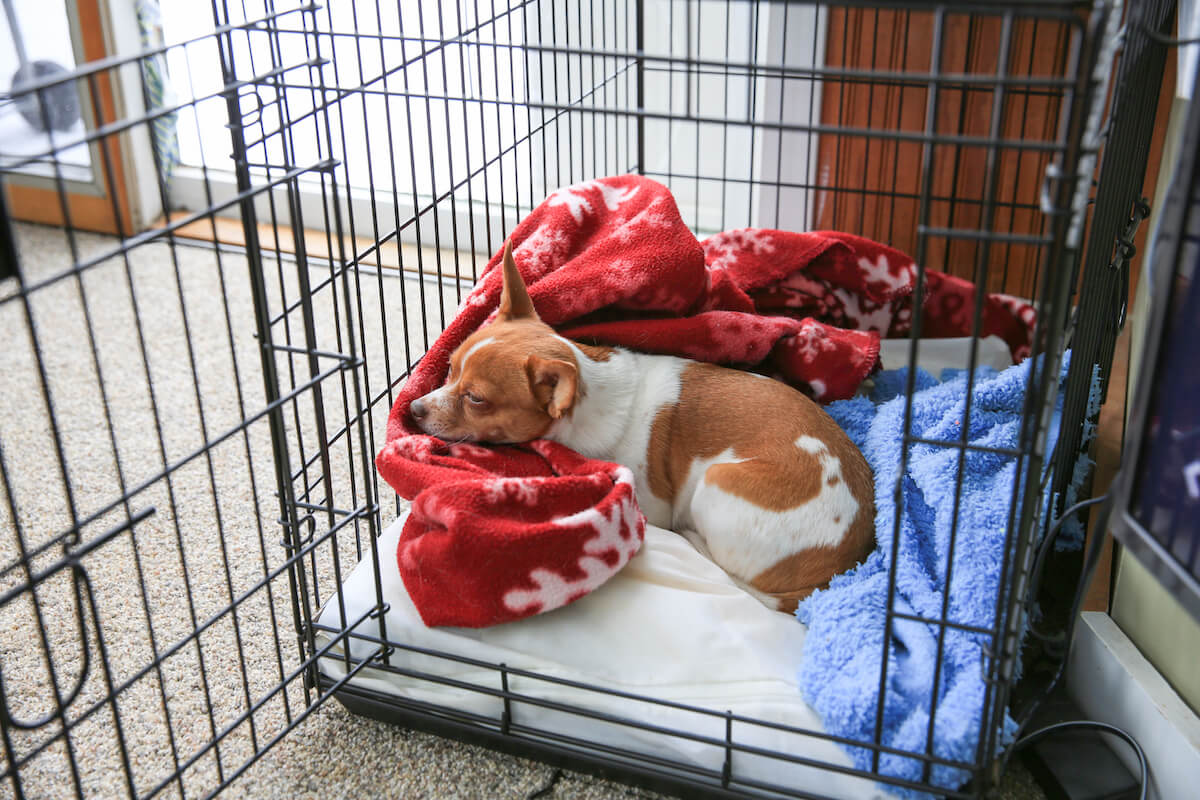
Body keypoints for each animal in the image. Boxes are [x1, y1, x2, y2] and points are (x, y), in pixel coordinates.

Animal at [410, 241, 873, 609]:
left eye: (476, 400)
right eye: (448, 370)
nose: (414, 409)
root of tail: (837, 569)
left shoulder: (653, 501)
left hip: (717, 483)